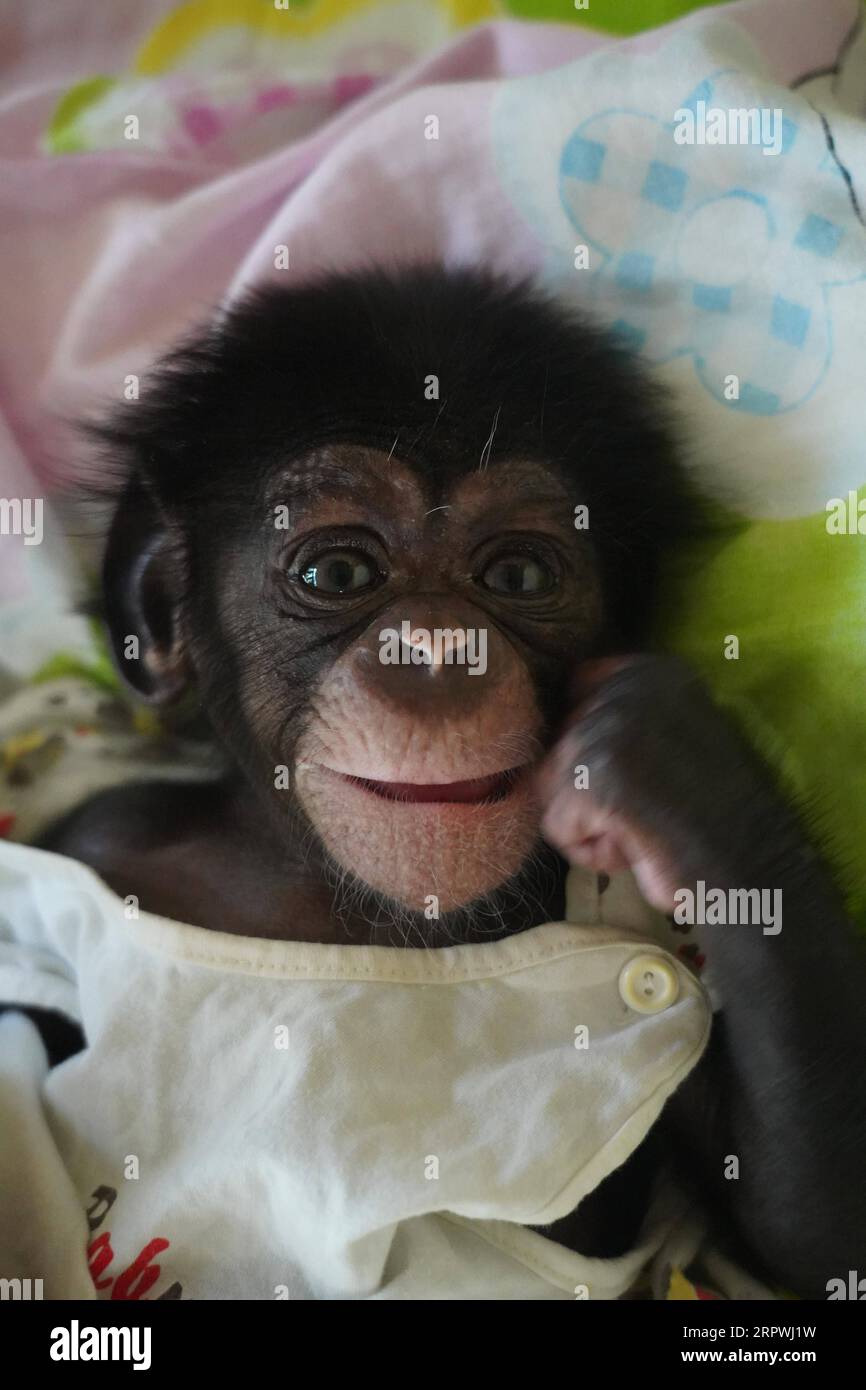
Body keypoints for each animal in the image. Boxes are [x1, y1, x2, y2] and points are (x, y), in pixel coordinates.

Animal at [3, 265, 865, 1300]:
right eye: (337, 571)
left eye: (520, 574)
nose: (442, 654)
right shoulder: (107, 836)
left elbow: (800, 1229)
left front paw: (679, 778)